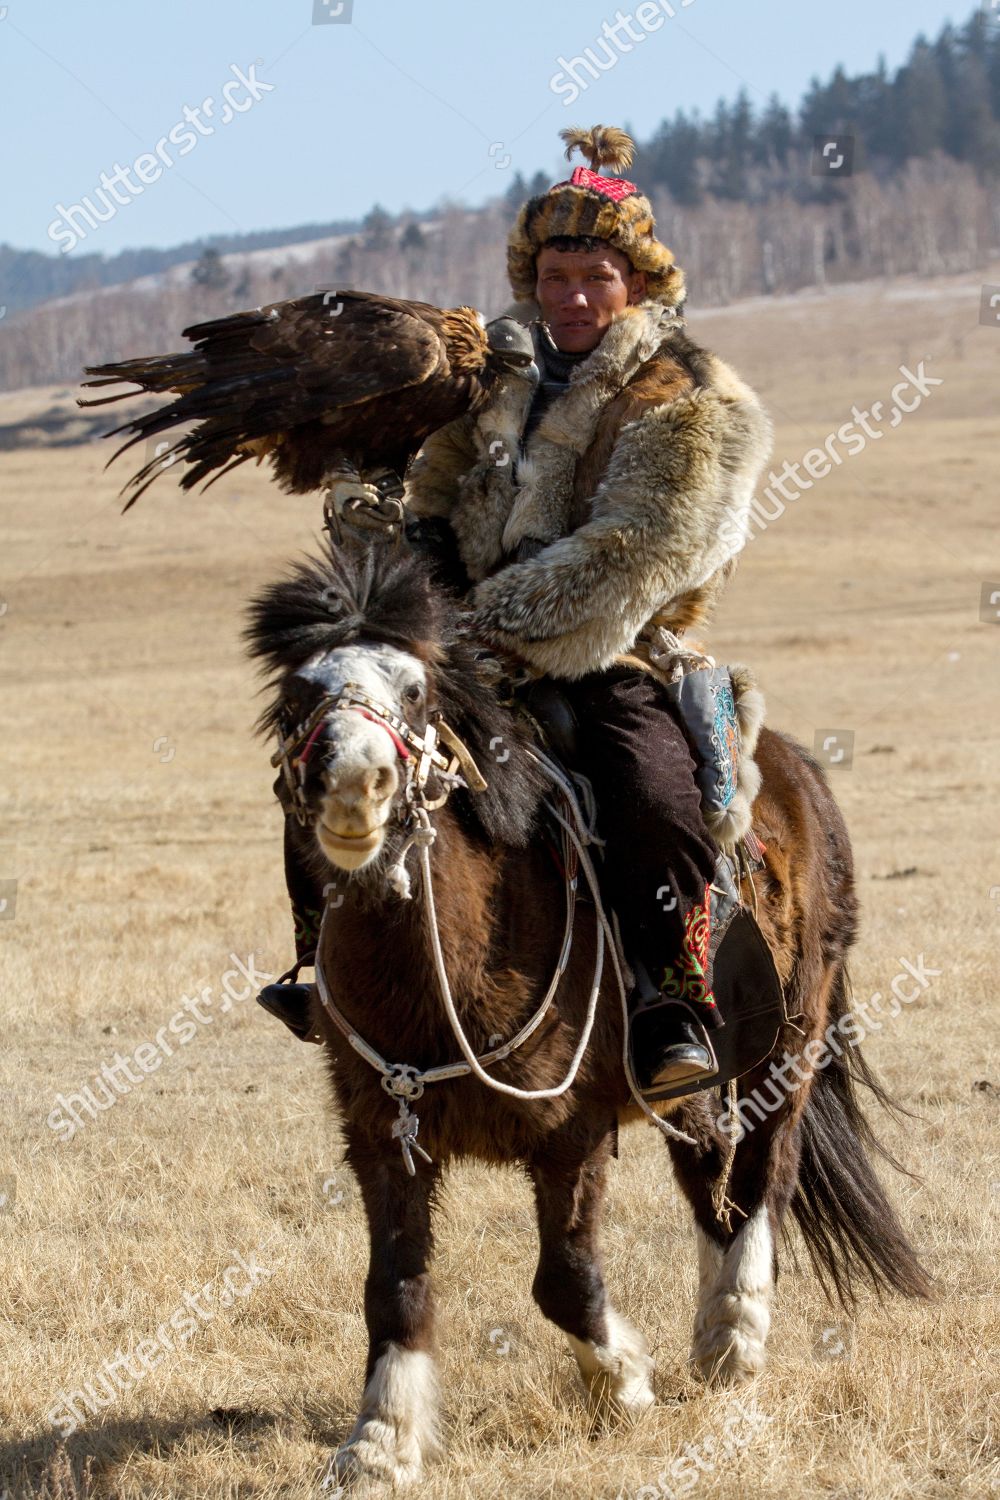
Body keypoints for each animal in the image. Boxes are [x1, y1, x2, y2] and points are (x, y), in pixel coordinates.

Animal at [245, 540, 935, 1488]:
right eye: (299, 694)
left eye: (416, 692)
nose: (354, 783)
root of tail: (799, 774)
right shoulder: (383, 1131)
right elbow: (392, 1289)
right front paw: (380, 1445)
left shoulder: (568, 1134)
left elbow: (563, 1279)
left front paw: (625, 1385)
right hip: (698, 1079)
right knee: (709, 1174)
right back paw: (710, 1335)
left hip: (790, 1042)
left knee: (764, 1172)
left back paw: (736, 1337)